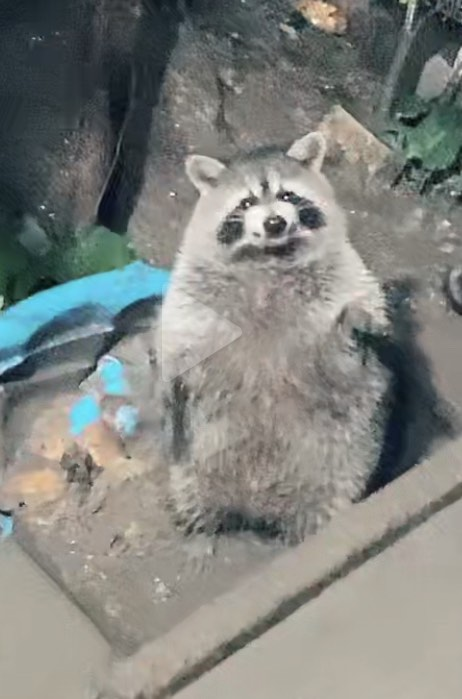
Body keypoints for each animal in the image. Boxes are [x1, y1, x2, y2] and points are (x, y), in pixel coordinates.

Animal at [156, 131, 391, 547]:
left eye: (287, 195)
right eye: (247, 202)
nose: (275, 222)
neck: (270, 257)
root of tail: (256, 511)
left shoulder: (344, 277)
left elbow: (348, 342)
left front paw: (355, 319)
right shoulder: (194, 289)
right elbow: (180, 334)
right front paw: (171, 375)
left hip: (340, 475)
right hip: (191, 468)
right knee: (191, 488)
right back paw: (197, 524)